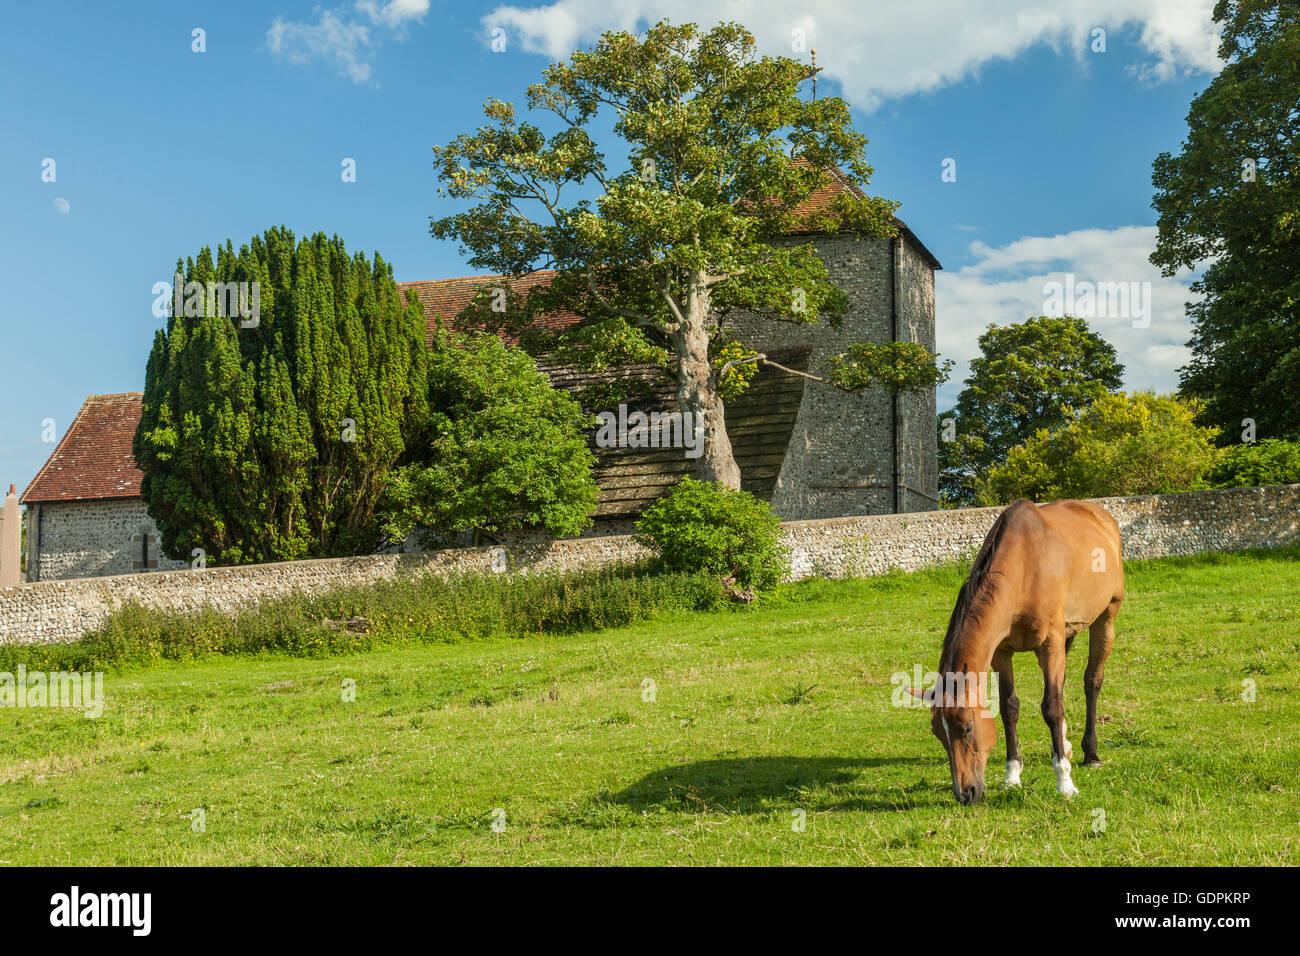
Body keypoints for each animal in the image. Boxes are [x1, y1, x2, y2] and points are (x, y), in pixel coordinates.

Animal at [920, 502, 1123, 806]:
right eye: (937, 733)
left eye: (967, 727)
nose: (965, 793)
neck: (1025, 568)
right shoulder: (1002, 653)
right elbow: (1009, 708)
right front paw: (1012, 777)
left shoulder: (1049, 644)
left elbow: (1051, 708)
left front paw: (1065, 783)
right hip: (1068, 633)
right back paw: (1065, 744)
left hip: (1106, 616)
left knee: (1092, 681)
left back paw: (1091, 753)